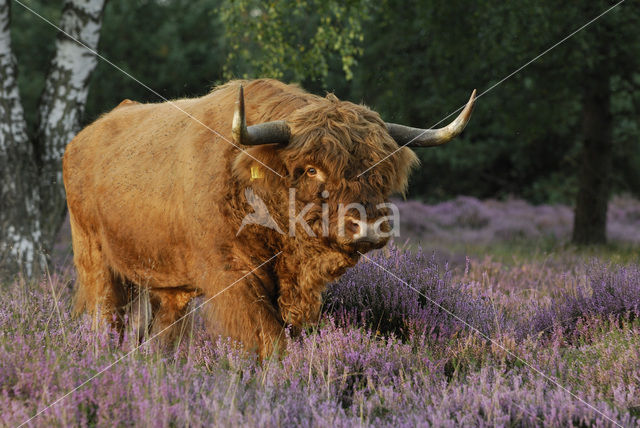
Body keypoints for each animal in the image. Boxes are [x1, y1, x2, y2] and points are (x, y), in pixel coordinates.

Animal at [62, 77, 476, 358]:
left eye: (380, 169)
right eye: (311, 169)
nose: (369, 227)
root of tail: (82, 139)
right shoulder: (233, 277)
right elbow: (268, 341)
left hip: (167, 283)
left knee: (163, 336)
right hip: (96, 261)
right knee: (106, 321)